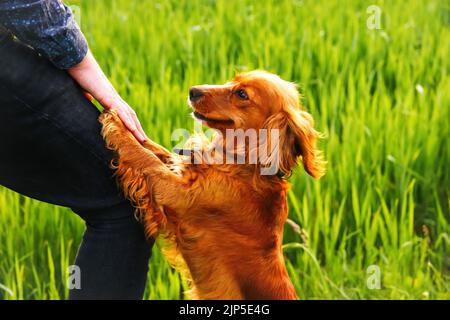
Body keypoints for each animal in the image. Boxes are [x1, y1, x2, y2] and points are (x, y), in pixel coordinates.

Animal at [99, 70, 324, 300]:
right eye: (232, 80)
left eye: (242, 94)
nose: (193, 90)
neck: (243, 165)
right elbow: (153, 147)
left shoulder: (175, 193)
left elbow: (146, 158)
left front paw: (116, 122)